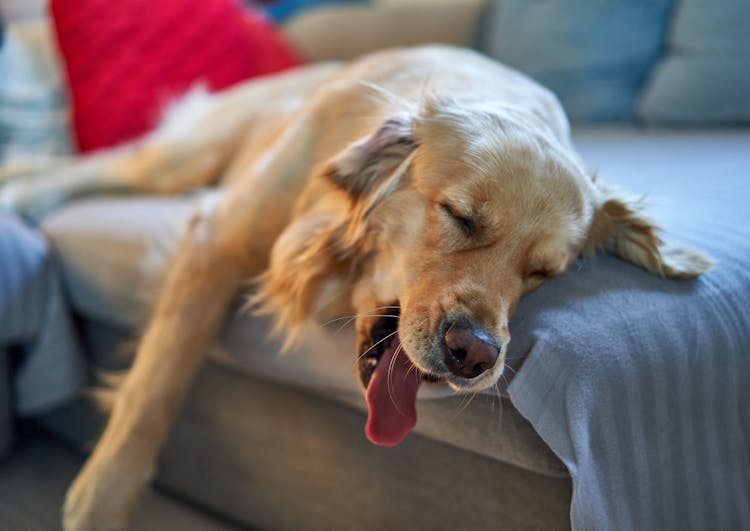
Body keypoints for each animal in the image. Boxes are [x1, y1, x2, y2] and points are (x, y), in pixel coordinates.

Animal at [1, 46, 712, 531]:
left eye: (544, 274)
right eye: (460, 216)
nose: (475, 355)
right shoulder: (217, 238)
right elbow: (157, 383)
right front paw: (101, 499)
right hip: (182, 159)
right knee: (86, 168)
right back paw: (20, 192)